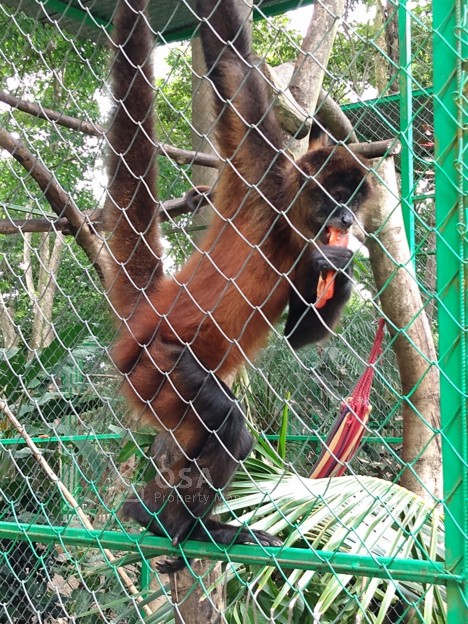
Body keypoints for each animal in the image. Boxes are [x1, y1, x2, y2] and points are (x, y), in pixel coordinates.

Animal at [104, 0, 374, 564]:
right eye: (334, 195)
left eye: (353, 200)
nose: (345, 216)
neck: (286, 229)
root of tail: (146, 314)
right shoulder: (262, 174)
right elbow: (231, 58)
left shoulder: (303, 252)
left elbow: (298, 335)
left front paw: (341, 269)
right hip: (155, 366)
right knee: (229, 426)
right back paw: (175, 524)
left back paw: (164, 518)